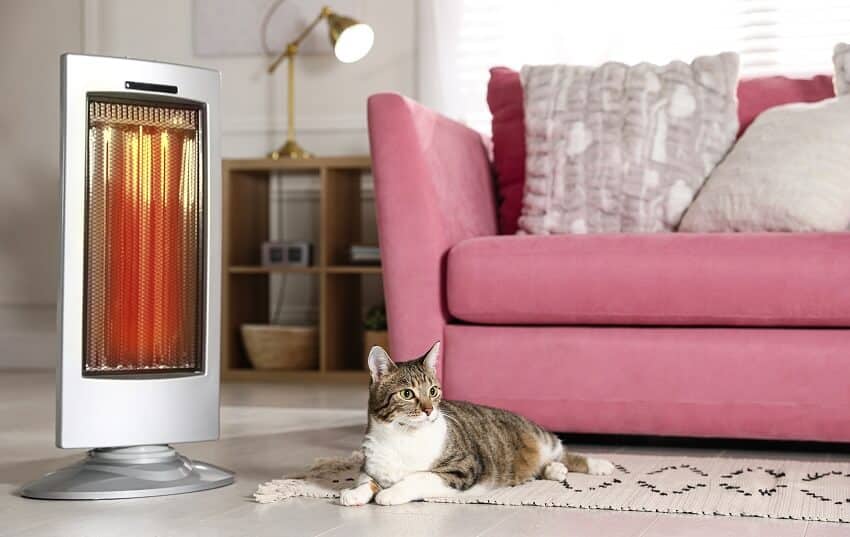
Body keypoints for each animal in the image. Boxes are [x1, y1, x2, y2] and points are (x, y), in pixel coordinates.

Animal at [338, 342, 608, 504]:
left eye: (433, 390)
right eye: (407, 394)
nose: (429, 410)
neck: (403, 436)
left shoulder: (462, 468)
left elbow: (419, 477)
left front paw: (391, 493)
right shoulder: (371, 463)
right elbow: (366, 480)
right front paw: (354, 494)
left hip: (540, 437)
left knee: (563, 451)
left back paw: (597, 465)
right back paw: (554, 470)